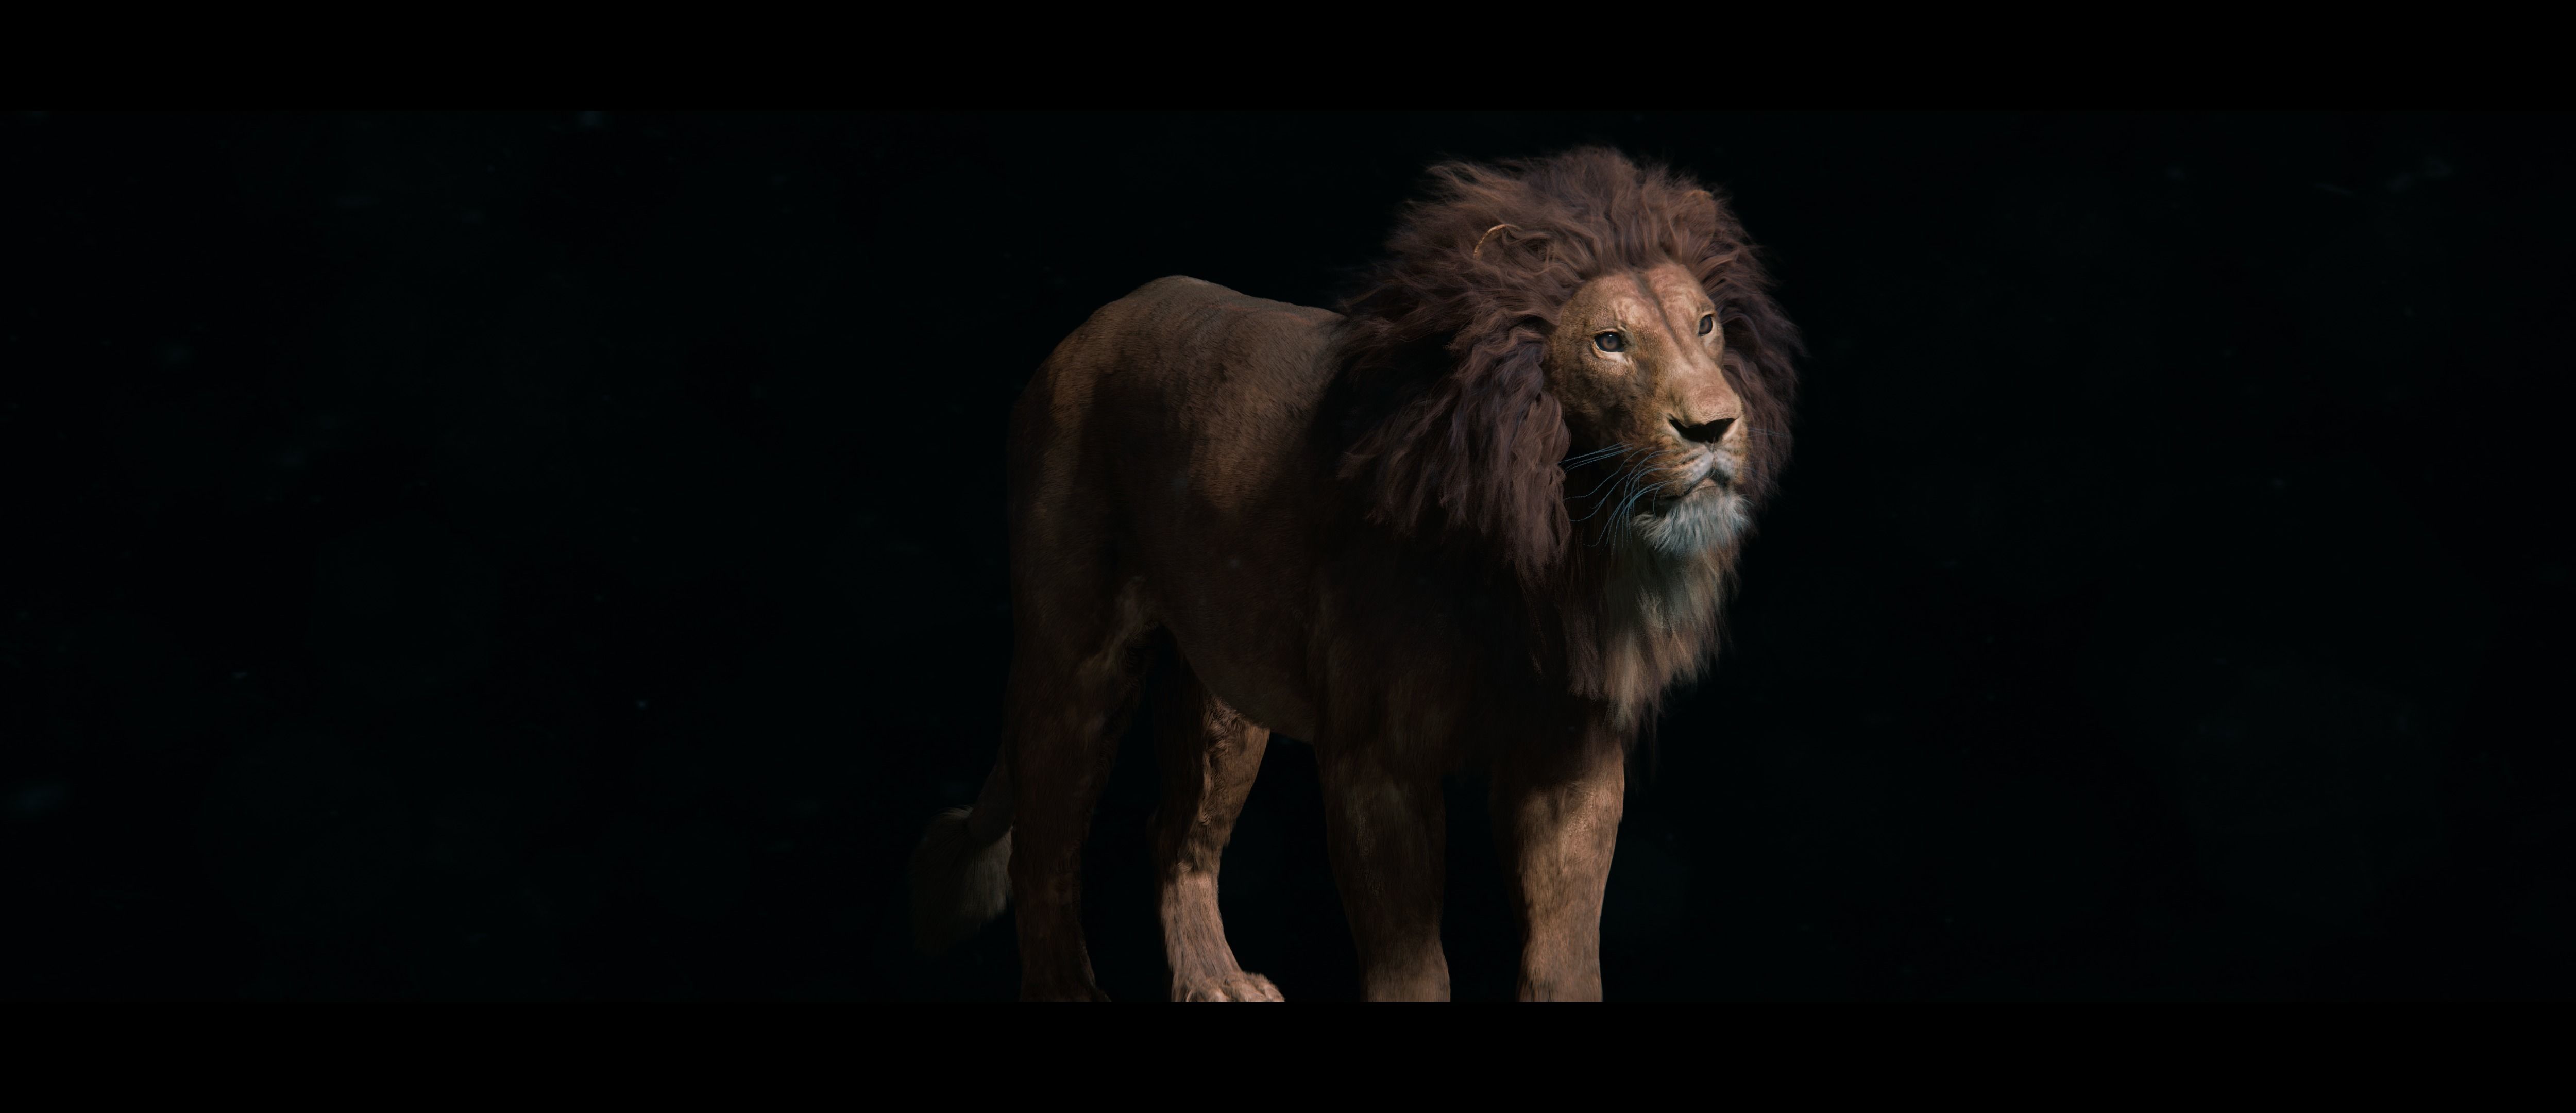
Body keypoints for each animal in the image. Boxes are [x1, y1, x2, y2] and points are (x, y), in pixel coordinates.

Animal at [909, 147, 1799, 1000]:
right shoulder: (1379, 759)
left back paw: (1215, 981)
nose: (1716, 426)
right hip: (1077, 656)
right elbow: (1412, 969)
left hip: (1225, 694)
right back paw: (1068, 987)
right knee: (1046, 837)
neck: (1547, 534)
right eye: (1609, 342)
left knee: (1175, 833)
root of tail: (1085, 332)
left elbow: (1565, 954)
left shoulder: (1570, 754)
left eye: (1707, 326)